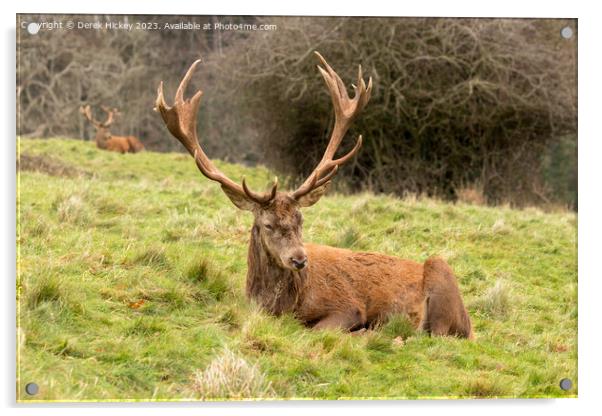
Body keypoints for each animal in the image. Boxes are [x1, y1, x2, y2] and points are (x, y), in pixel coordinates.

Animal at [155, 52, 474, 338]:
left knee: (433, 334)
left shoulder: (348, 305)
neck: (283, 305)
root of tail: (469, 322)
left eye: (301, 220)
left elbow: (317, 330)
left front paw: (361, 332)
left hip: (441, 276)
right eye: (267, 224)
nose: (299, 259)